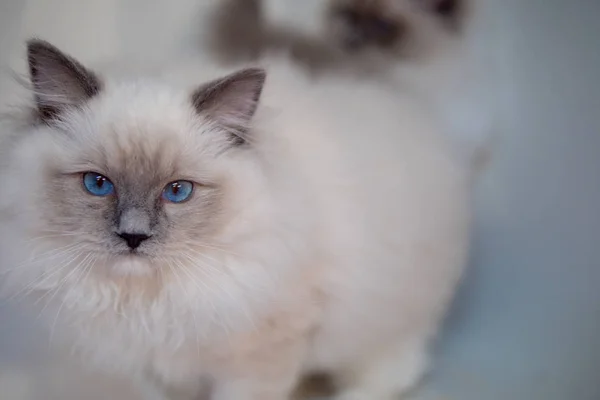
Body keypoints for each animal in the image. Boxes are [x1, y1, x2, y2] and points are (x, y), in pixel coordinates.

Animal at [0, 38, 468, 400]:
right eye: (98, 184)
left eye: (178, 191)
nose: (134, 236)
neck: (149, 301)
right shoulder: (155, 368)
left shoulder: (260, 356)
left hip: (380, 328)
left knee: (393, 374)